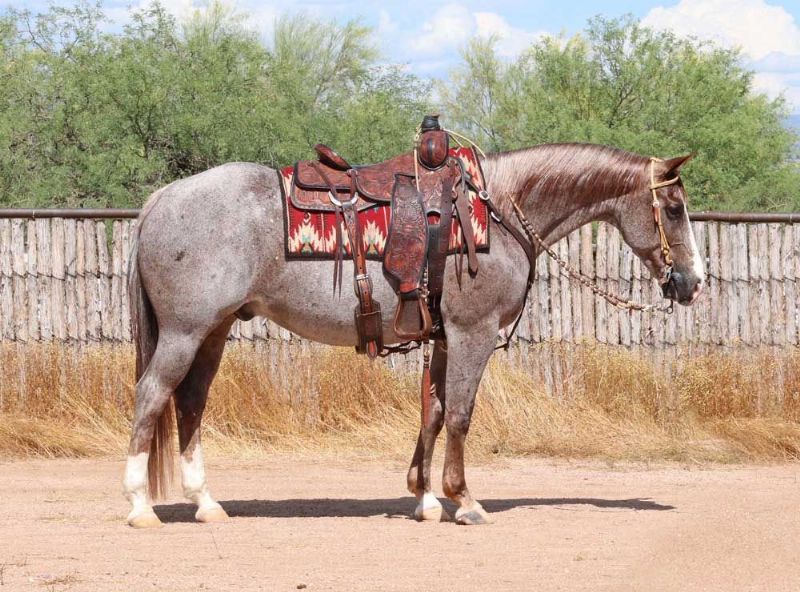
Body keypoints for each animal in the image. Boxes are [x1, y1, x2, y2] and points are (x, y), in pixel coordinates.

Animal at [122, 142, 704, 528]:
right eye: (674, 209)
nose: (694, 282)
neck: (497, 212)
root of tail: (161, 199)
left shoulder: (445, 338)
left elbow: (436, 410)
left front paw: (424, 498)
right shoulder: (473, 333)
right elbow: (462, 414)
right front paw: (464, 500)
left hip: (213, 331)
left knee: (190, 403)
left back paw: (206, 504)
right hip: (185, 332)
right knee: (152, 396)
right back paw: (140, 506)